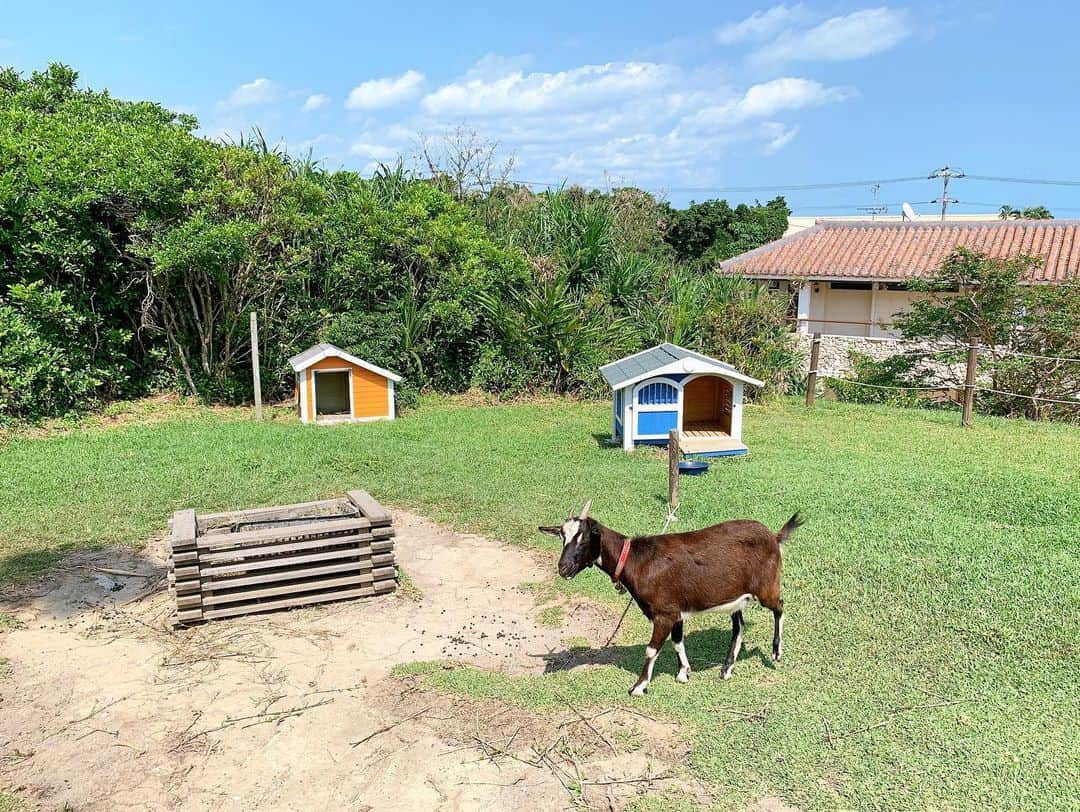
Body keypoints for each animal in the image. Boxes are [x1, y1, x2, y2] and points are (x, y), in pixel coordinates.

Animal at [540, 505, 803, 695]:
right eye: (562, 537)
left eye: (583, 538)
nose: (563, 568)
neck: (637, 561)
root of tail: (774, 536)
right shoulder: (676, 612)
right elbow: (677, 642)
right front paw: (684, 673)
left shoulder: (664, 613)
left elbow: (651, 650)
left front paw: (638, 686)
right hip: (736, 596)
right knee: (739, 626)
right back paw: (726, 669)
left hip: (767, 585)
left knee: (779, 607)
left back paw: (776, 652)